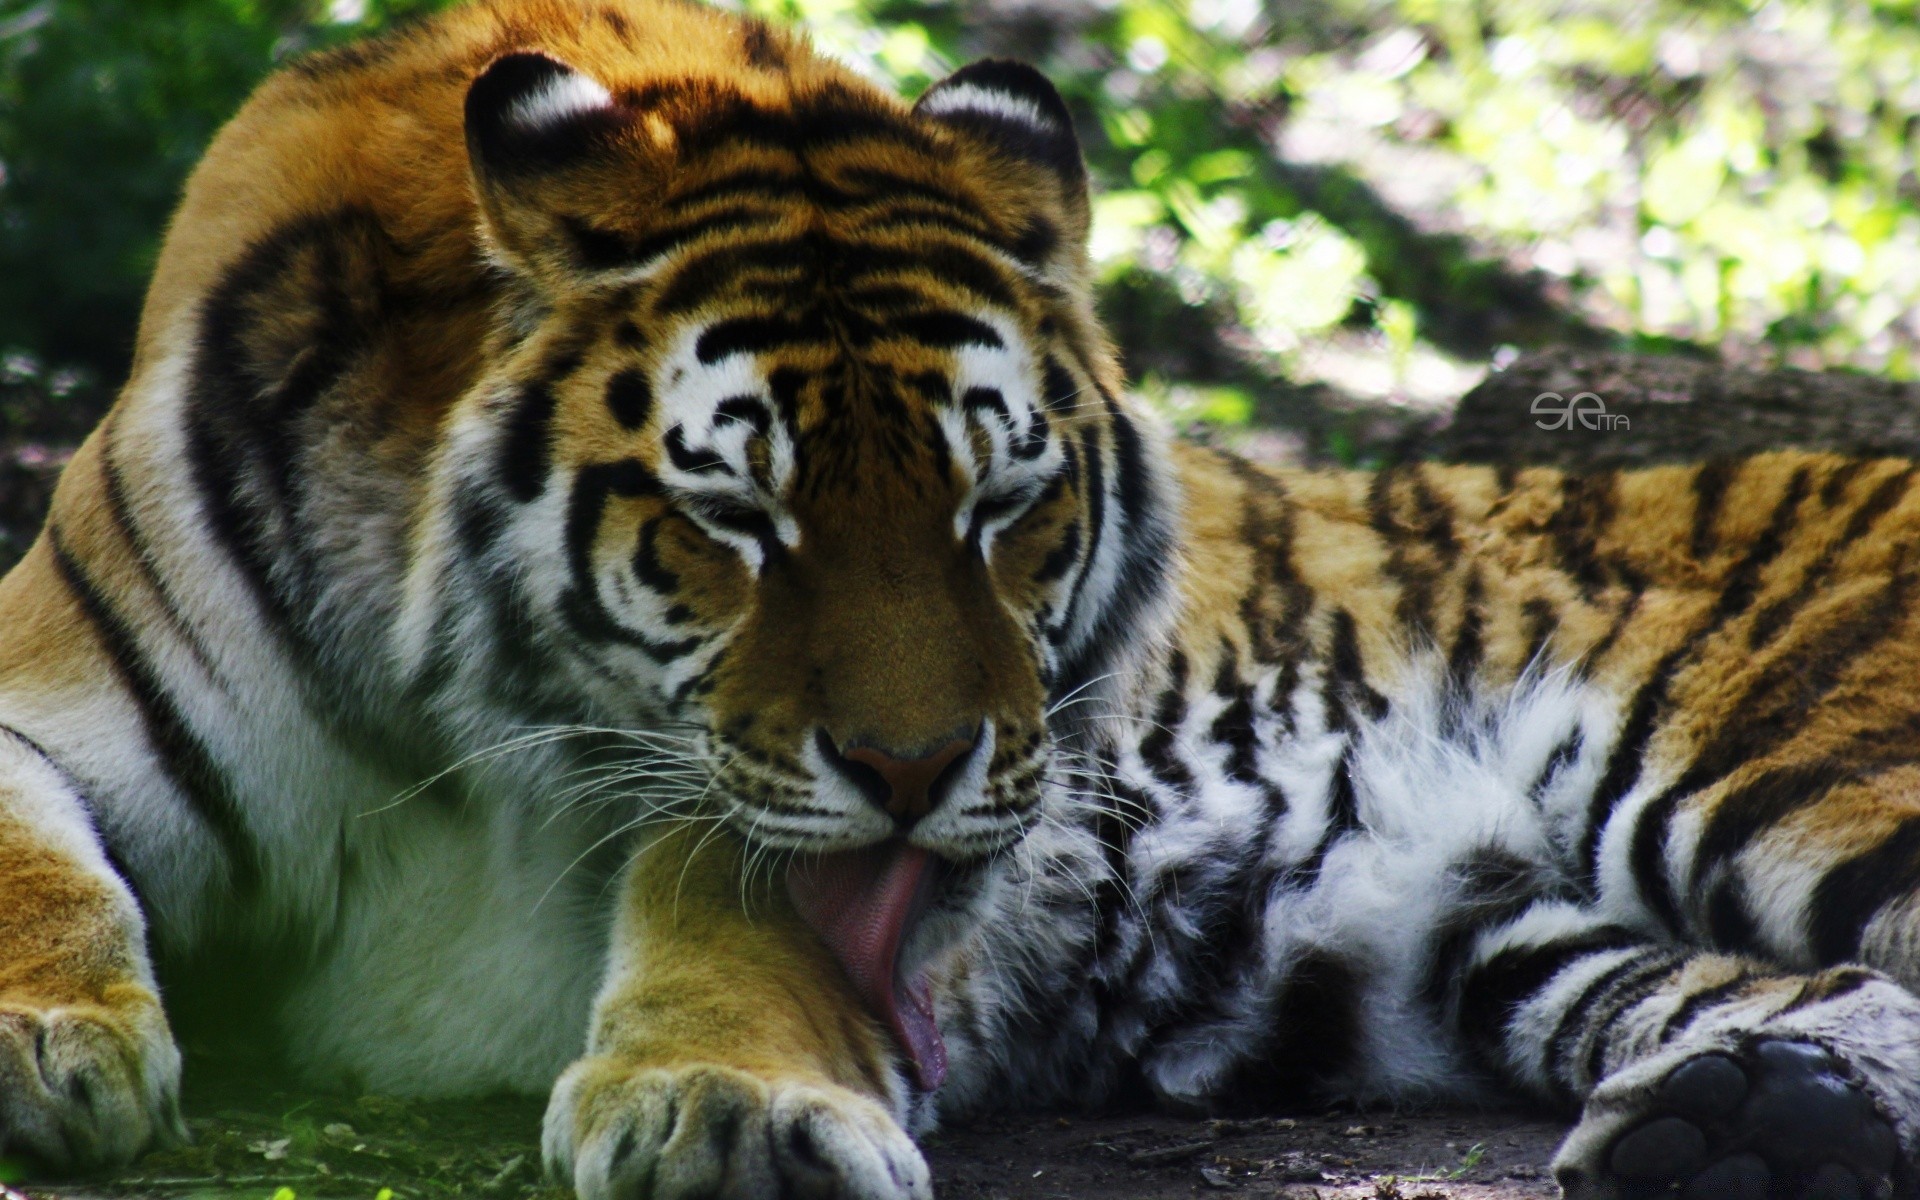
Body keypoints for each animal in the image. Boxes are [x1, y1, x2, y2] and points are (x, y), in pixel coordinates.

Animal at [3, 2, 1920, 1198]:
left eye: (1002, 506)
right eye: (738, 515)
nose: (917, 773)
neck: (470, 738)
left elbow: (732, 902)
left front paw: (724, 1110)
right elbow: (38, 858)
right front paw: (45, 1047)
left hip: (1783, 767)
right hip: (1522, 934)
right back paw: (1752, 1124)